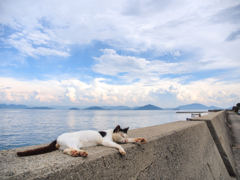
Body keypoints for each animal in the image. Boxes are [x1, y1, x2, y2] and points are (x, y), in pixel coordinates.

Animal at [16, 125, 146, 158]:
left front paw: (140, 139)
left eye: (125, 135)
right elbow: (117, 145)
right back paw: (80, 153)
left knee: (66, 150)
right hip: (74, 141)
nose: (124, 139)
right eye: (121, 135)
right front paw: (122, 150)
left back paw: (75, 153)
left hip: (71, 145)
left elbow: (132, 139)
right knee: (71, 149)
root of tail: (57, 138)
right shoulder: (106, 142)